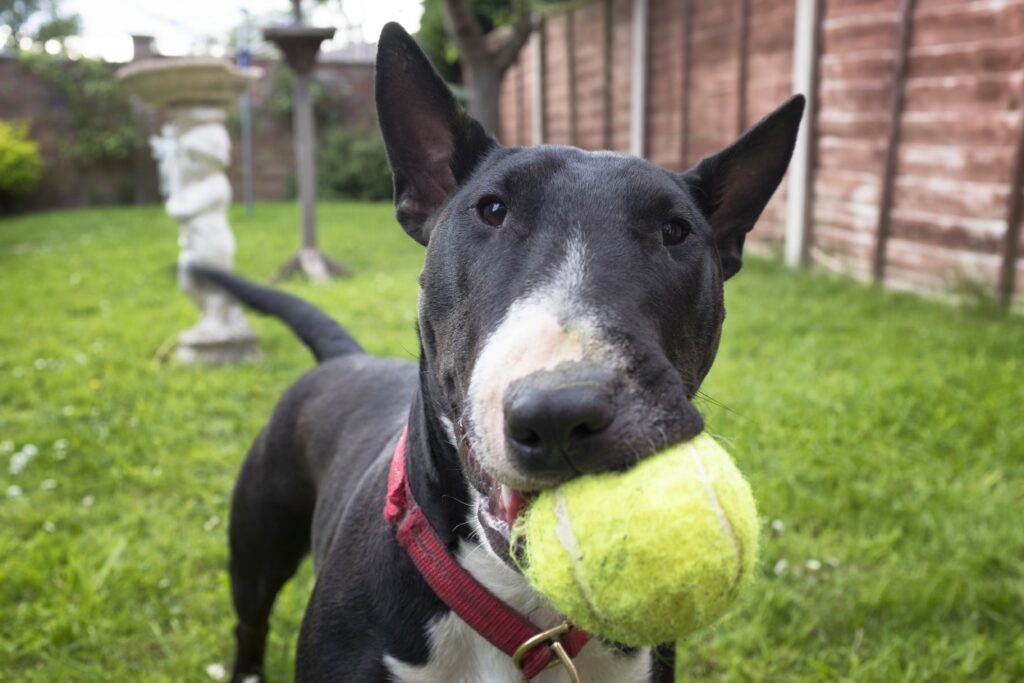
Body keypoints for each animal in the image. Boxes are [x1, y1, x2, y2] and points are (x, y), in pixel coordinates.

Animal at [205, 21, 798, 683]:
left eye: (676, 231)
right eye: (491, 209)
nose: (562, 414)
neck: (526, 619)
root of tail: (344, 357)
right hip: (256, 546)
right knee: (250, 621)